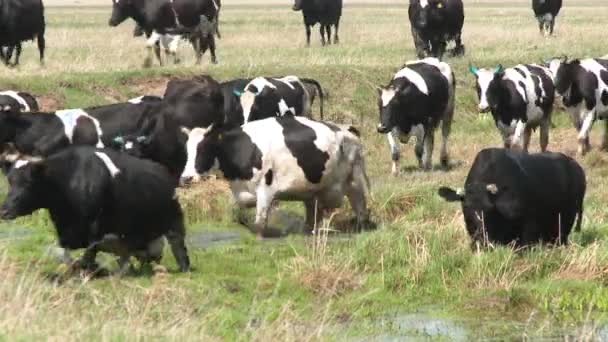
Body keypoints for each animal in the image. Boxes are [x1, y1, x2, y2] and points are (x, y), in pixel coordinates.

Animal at [0, 146, 190, 274]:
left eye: (29, 183)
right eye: (10, 181)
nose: (4, 210)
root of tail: (164, 172)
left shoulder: (96, 226)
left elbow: (91, 250)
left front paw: (88, 269)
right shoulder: (64, 230)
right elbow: (66, 254)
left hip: (174, 220)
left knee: (178, 245)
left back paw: (184, 268)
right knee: (134, 255)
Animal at [178, 116, 372, 239]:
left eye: (204, 148)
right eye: (186, 149)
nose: (186, 178)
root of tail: (347, 130)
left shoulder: (265, 189)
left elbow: (259, 222)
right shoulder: (242, 191)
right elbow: (239, 216)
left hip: (354, 181)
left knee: (361, 208)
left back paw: (361, 229)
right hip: (313, 189)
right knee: (312, 215)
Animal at [440, 148, 588, 247]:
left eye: (490, 208)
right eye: (466, 206)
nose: (481, 235)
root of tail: (575, 165)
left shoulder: (529, 226)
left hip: (567, 219)